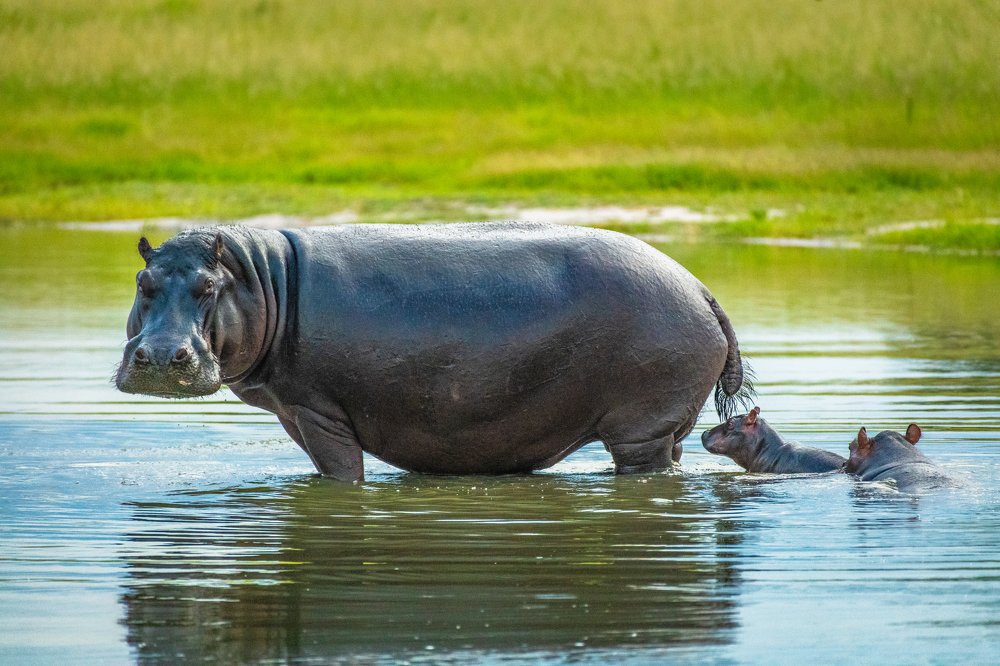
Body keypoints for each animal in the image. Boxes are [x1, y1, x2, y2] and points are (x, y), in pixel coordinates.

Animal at [115, 222, 753, 481]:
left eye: (208, 287)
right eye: (143, 283)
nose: (161, 355)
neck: (262, 278)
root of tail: (699, 286)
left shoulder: (316, 411)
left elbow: (341, 474)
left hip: (642, 427)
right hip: (663, 425)